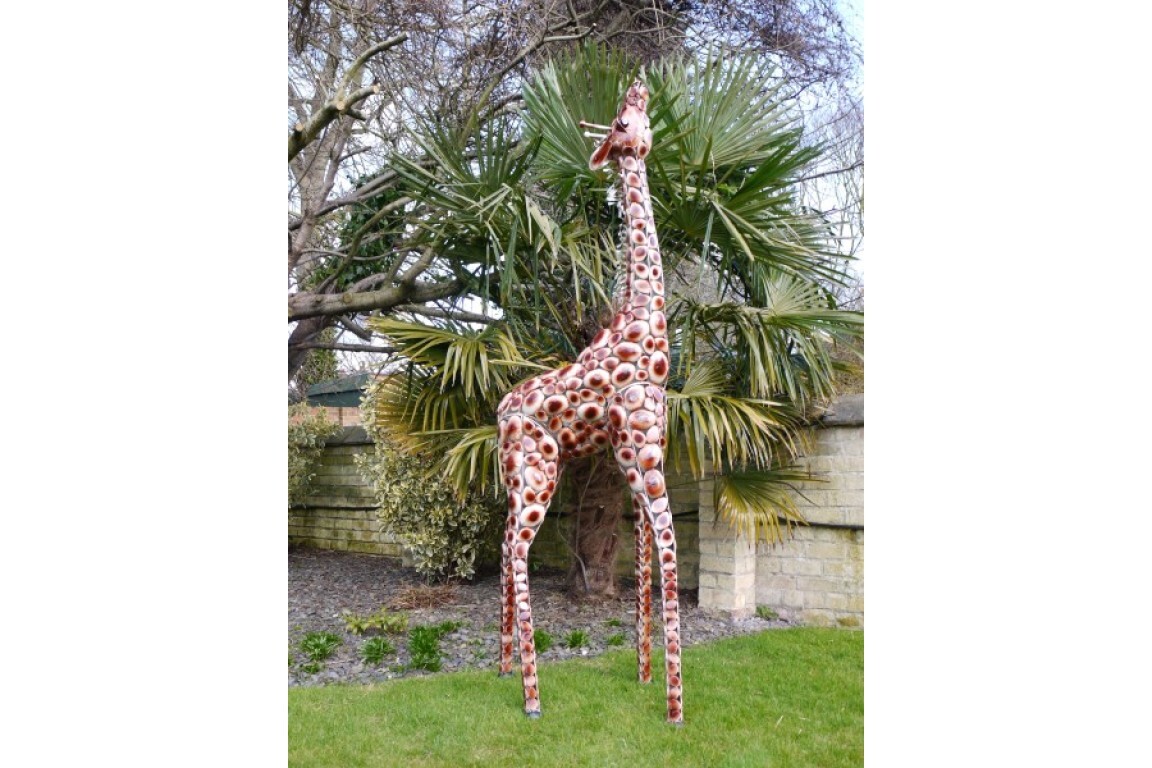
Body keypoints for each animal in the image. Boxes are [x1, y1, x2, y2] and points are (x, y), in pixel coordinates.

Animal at [495, 78, 684, 724]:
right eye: (623, 122)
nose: (642, 90)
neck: (645, 324)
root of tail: (498, 416)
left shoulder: (641, 452)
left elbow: (644, 548)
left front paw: (646, 678)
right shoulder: (643, 449)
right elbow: (669, 546)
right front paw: (676, 710)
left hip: (518, 477)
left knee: (503, 546)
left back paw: (503, 669)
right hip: (542, 472)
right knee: (518, 549)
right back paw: (532, 700)